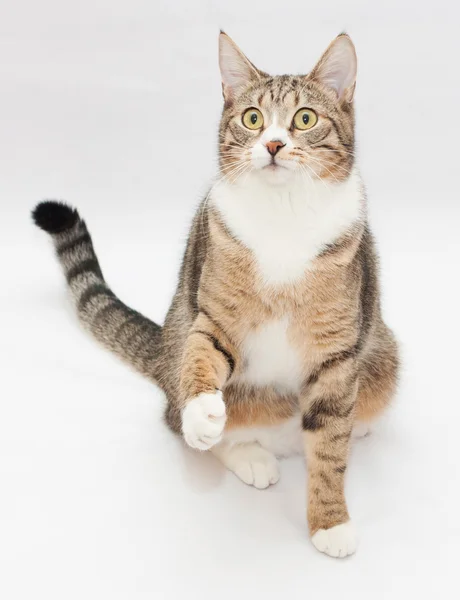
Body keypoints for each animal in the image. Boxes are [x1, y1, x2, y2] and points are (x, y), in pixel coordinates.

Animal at [32, 31, 398, 556]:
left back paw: (356, 425)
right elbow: (205, 354)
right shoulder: (216, 313)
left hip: (383, 355)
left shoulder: (336, 349)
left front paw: (330, 521)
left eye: (305, 119)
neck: (284, 214)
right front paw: (203, 412)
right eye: (253, 118)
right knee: (180, 414)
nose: (273, 144)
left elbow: (330, 447)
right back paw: (243, 450)